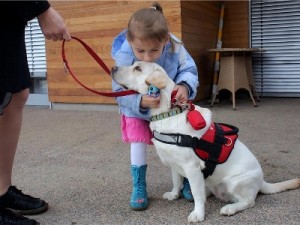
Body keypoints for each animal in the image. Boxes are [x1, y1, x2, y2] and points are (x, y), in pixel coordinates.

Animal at [111, 61, 298, 223]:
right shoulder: (174, 164)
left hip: (236, 182)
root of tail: (261, 182)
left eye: (138, 68)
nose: (113, 67)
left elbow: (197, 194)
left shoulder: (192, 167)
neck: (168, 113)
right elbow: (177, 181)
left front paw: (198, 213)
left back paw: (230, 208)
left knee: (248, 201)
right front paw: (174, 194)